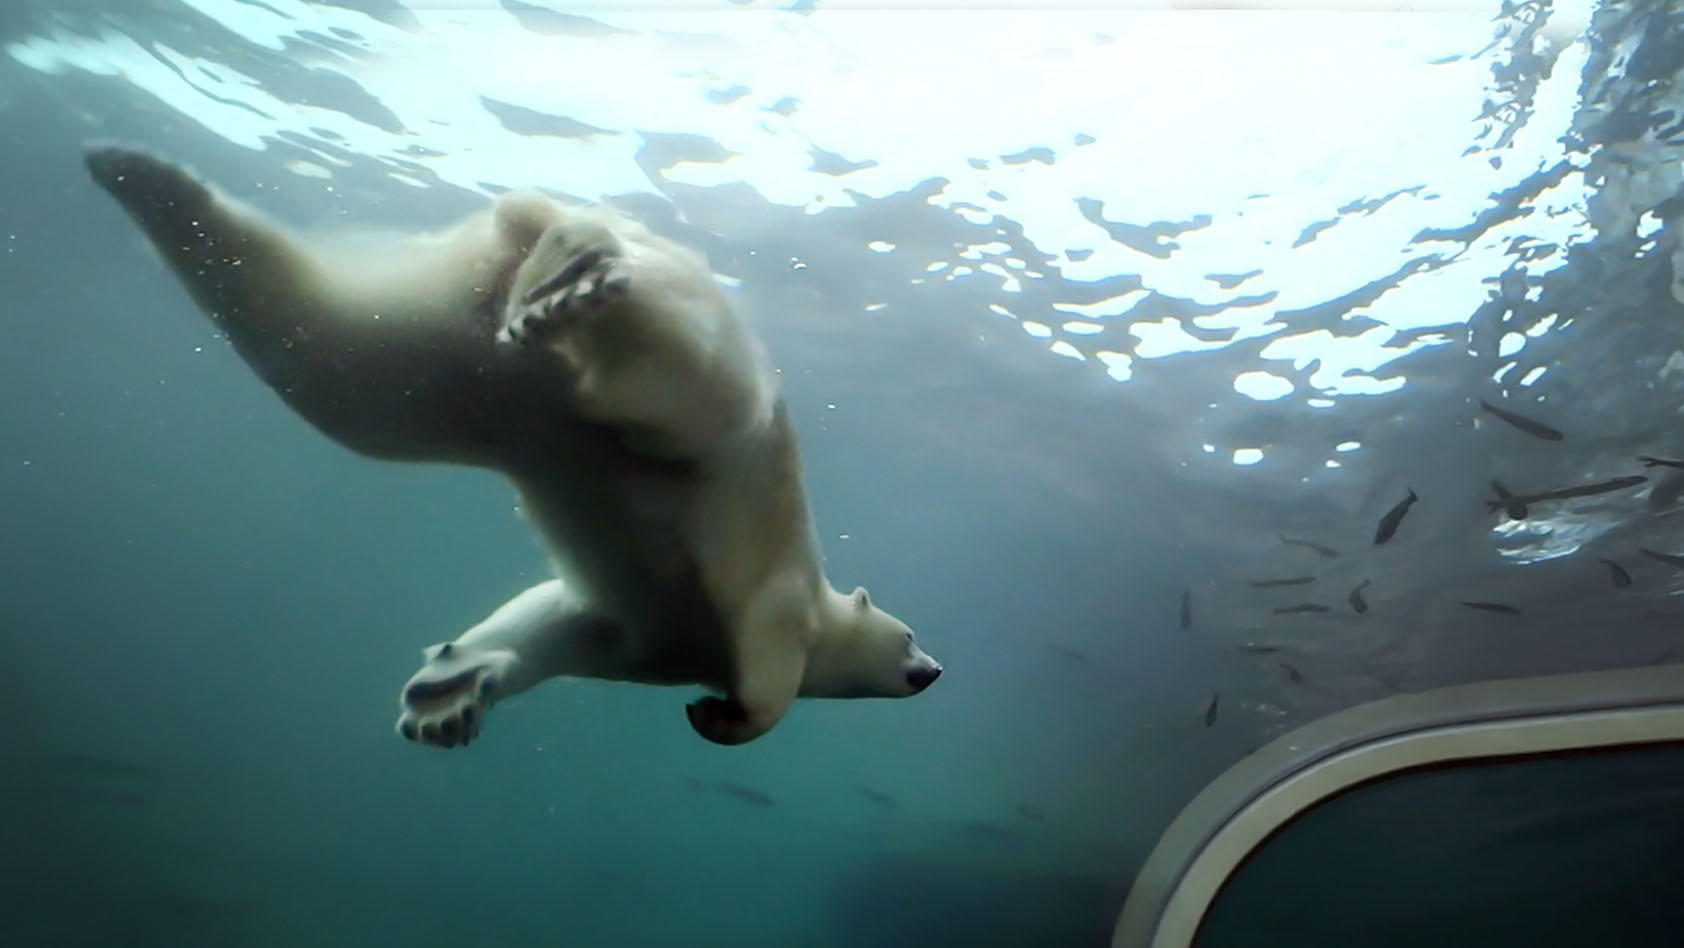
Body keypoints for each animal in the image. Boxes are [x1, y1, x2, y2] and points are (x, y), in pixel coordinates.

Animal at [83, 143, 942, 748]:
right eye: (908, 634)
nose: (934, 670)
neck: (823, 607)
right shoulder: (780, 598)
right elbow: (767, 673)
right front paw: (722, 715)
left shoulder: (638, 641)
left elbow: (558, 623)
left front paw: (445, 696)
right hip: (709, 395)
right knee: (674, 375)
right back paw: (576, 270)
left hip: (455, 363)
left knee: (338, 362)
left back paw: (142, 177)